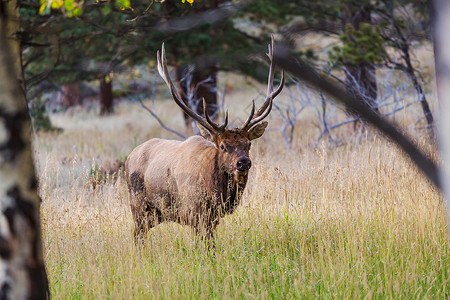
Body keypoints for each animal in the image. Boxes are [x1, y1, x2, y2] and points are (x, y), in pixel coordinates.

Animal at [125, 38, 284, 244]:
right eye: (223, 146)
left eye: (248, 144)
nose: (243, 163)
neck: (216, 190)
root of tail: (129, 156)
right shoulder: (194, 211)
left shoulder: (213, 217)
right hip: (138, 205)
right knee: (138, 235)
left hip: (156, 214)